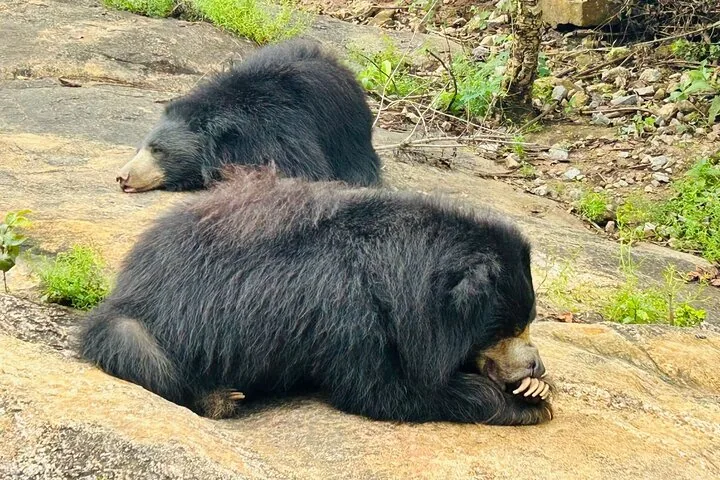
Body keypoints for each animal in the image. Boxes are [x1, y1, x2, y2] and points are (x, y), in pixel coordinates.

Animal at [80, 168, 552, 426]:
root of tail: (127, 280)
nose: (537, 365)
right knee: (149, 359)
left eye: (528, 323)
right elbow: (387, 390)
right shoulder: (350, 318)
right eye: (506, 330)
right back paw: (221, 398)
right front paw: (526, 404)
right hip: (153, 327)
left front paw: (535, 390)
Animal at [115, 40, 382, 193]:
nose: (122, 176)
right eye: (139, 149)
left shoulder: (278, 131)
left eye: (158, 150)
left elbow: (301, 168)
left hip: (347, 134)